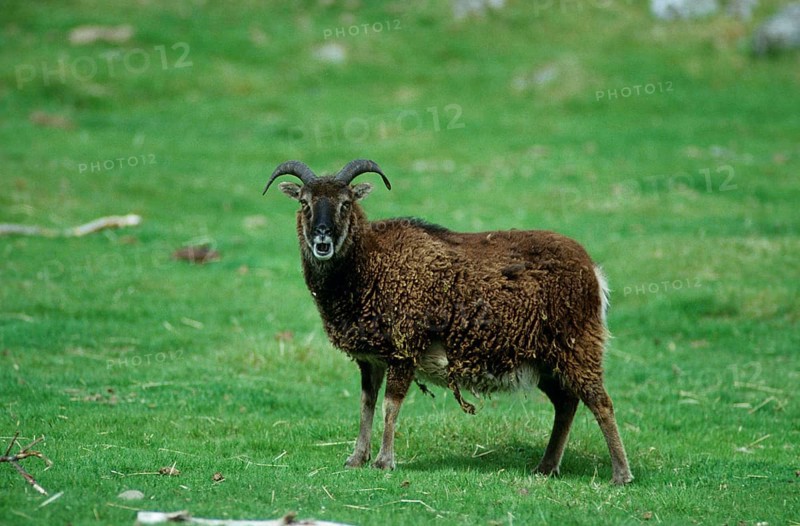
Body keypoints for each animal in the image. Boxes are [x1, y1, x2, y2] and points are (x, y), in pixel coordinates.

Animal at [263, 159, 633, 485]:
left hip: (578, 345)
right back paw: (546, 467)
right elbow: (367, 405)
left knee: (601, 402)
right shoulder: (371, 360)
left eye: (345, 204)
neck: (370, 266)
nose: (322, 240)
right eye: (305, 203)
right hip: (546, 359)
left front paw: (384, 462)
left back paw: (621, 475)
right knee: (566, 403)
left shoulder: (403, 350)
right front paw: (356, 459)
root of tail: (594, 274)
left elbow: (390, 406)